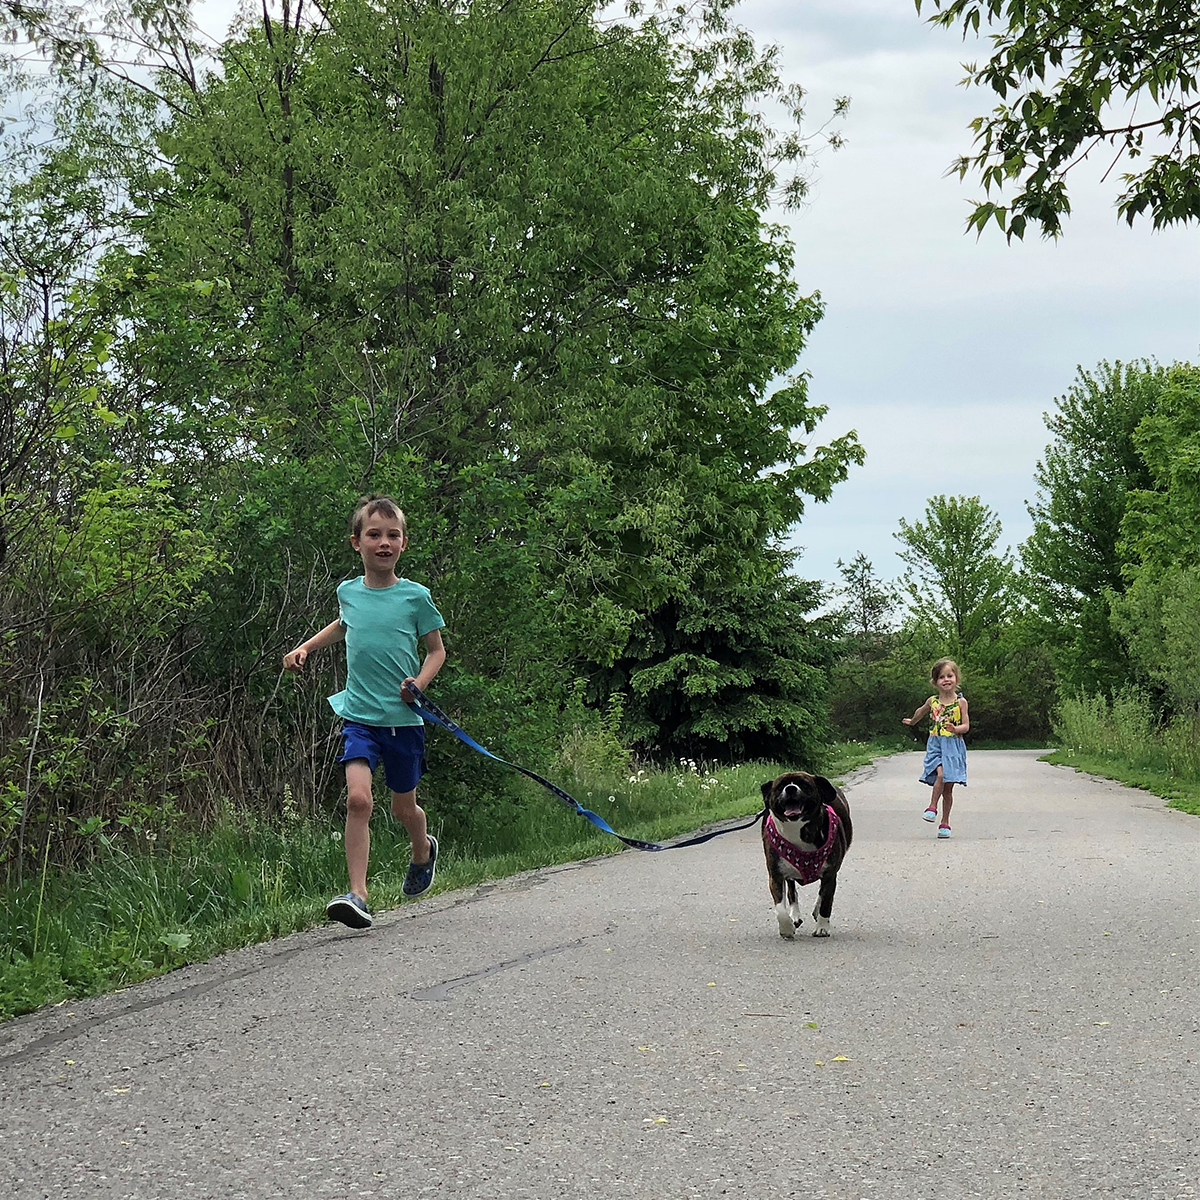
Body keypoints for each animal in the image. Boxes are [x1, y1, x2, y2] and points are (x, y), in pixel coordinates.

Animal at [760, 772, 853, 939]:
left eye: (804, 784)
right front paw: (786, 928)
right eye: (780, 786)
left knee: (822, 893)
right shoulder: (775, 875)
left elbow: (826, 902)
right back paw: (795, 915)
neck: (797, 830)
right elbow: (780, 908)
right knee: (791, 890)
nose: (790, 788)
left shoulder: (830, 873)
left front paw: (822, 927)